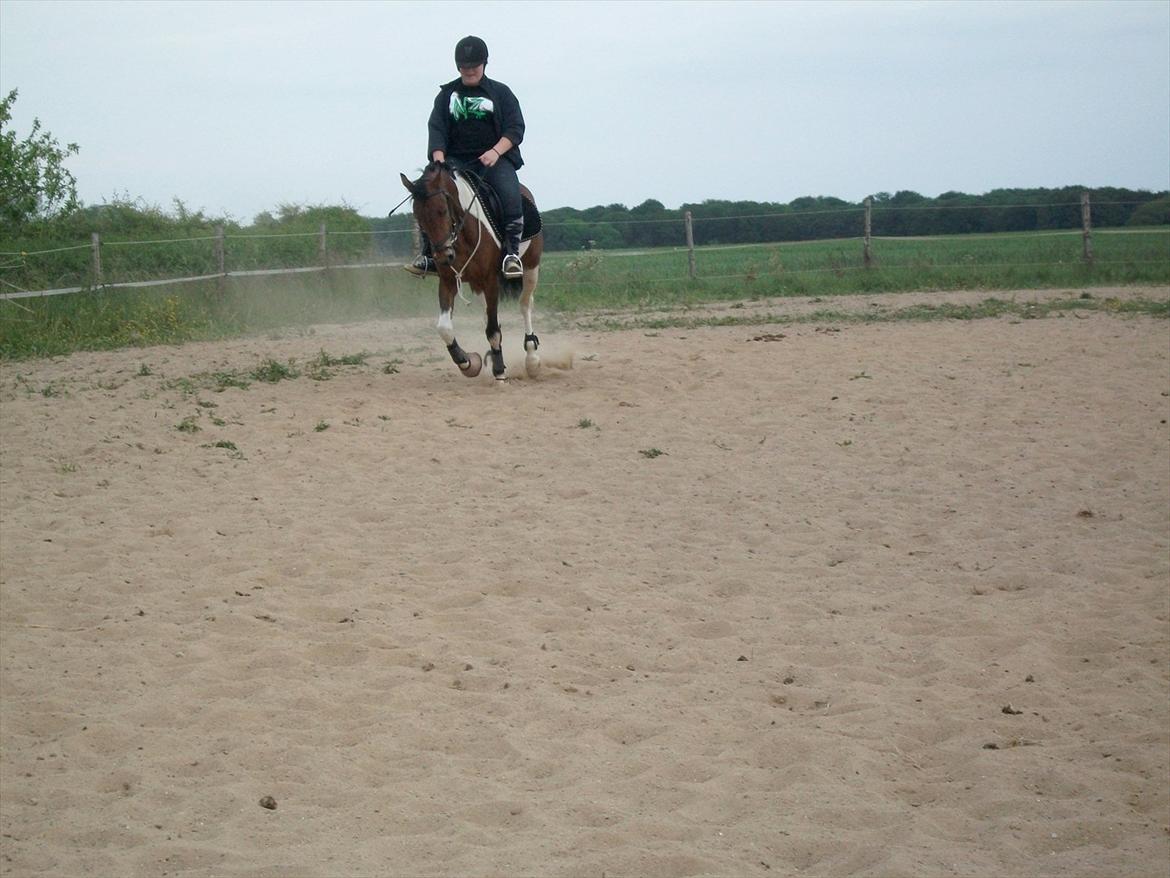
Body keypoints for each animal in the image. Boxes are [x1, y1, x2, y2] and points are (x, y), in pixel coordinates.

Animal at [400, 162, 545, 381]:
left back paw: (532, 359)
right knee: (488, 314)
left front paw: (500, 372)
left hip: (530, 268)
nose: (443, 257)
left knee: (525, 304)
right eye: (419, 217)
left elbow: (493, 330)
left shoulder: (490, 280)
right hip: (477, 283)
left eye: (442, 211)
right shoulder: (449, 281)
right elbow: (444, 328)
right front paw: (467, 362)